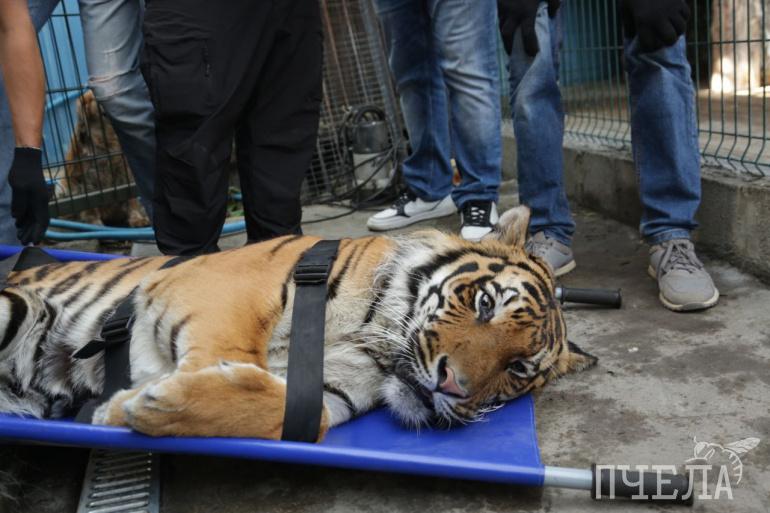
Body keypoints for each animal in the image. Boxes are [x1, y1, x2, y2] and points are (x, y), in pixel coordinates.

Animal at [0, 206, 596, 441]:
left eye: (517, 369)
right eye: (485, 304)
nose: (453, 387)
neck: (371, 339)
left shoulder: (329, 392)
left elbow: (298, 413)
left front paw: (137, 406)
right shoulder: (229, 281)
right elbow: (229, 349)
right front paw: (151, 399)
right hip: (17, 307)